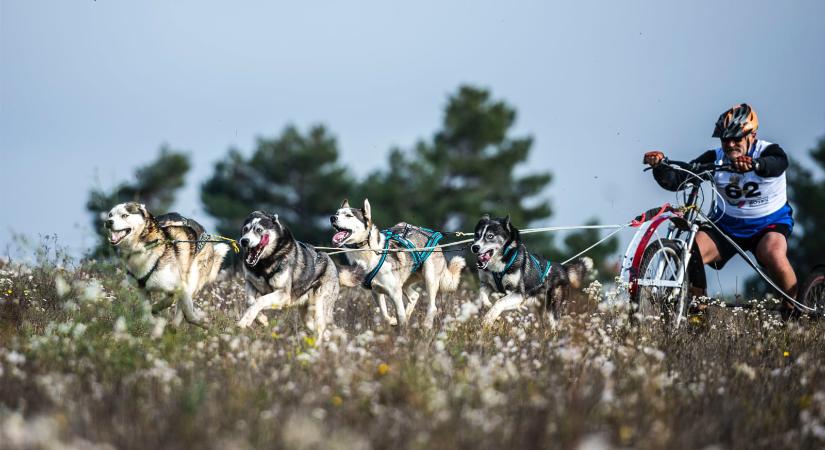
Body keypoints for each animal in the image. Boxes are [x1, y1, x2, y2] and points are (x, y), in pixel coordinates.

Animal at [235, 211, 338, 342]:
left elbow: (260, 300)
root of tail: (331, 262)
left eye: (259, 230)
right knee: (321, 330)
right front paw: (261, 319)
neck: (264, 263)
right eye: (245, 229)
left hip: (319, 308)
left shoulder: (283, 294)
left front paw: (243, 322)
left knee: (320, 329)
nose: (244, 241)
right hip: (307, 317)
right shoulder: (251, 283)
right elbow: (250, 301)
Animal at [332, 200, 466, 326]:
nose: (332, 217)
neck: (370, 253)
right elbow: (385, 315)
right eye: (337, 213)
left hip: (429, 276)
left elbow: (400, 315)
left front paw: (402, 332)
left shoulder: (395, 293)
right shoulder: (376, 292)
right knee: (414, 296)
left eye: (349, 215)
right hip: (406, 281)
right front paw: (392, 321)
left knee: (432, 307)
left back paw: (426, 326)